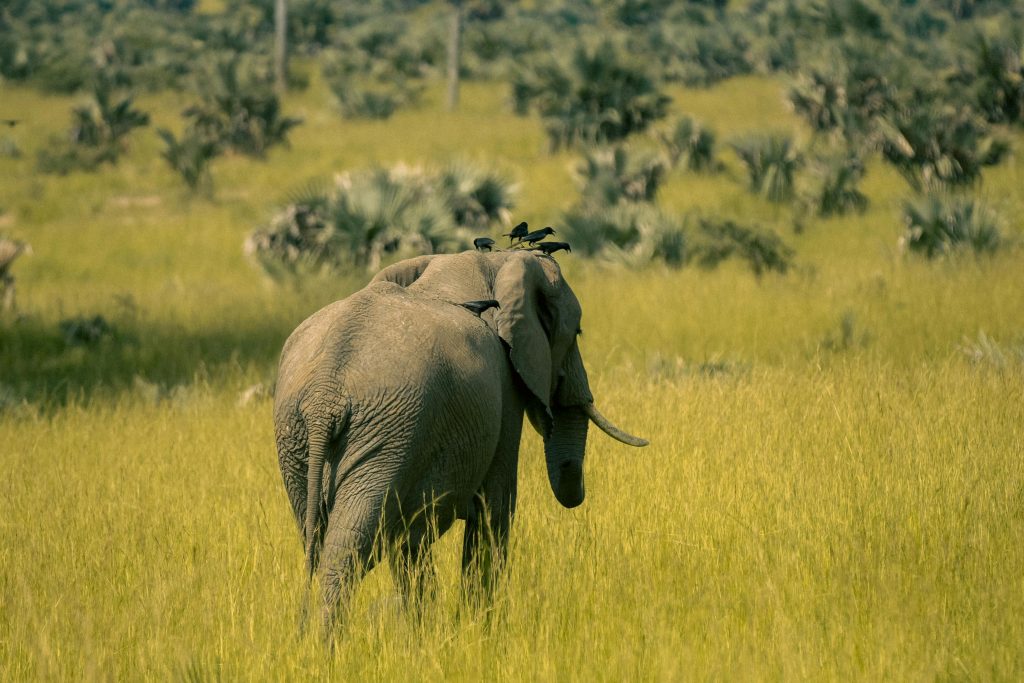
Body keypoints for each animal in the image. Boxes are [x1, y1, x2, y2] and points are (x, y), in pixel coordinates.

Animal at [273, 248, 647, 633]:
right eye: (577, 332)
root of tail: (325, 395)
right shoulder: (504, 386)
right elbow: (495, 510)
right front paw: (483, 633)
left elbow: (414, 542)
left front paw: (430, 633)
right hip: (383, 436)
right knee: (349, 546)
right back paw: (329, 643)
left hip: (304, 441)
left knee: (325, 540)